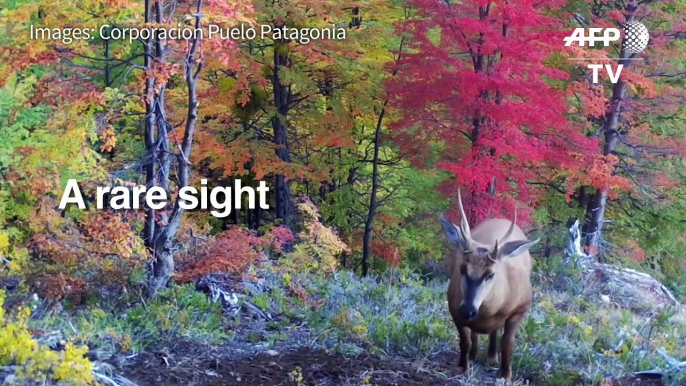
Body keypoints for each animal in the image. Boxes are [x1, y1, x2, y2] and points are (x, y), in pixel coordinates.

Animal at [440, 188, 544, 382]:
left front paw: (506, 374)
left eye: (490, 274)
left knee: (495, 331)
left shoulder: (522, 307)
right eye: (462, 268)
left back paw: (491, 357)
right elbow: (464, 341)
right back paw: (475, 354)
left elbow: (507, 342)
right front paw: (462, 367)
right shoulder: (453, 308)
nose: (468, 309)